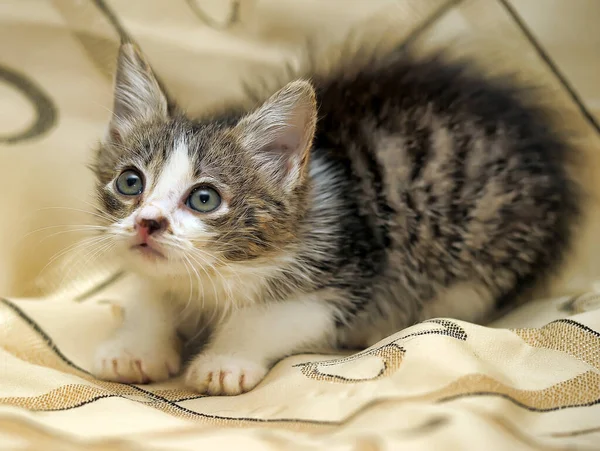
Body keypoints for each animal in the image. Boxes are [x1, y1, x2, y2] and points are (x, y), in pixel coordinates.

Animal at [90, 42, 580, 396]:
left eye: (205, 198)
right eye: (130, 183)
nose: (147, 222)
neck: (218, 277)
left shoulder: (349, 272)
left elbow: (268, 318)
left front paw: (223, 360)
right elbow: (149, 291)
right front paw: (134, 347)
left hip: (485, 253)